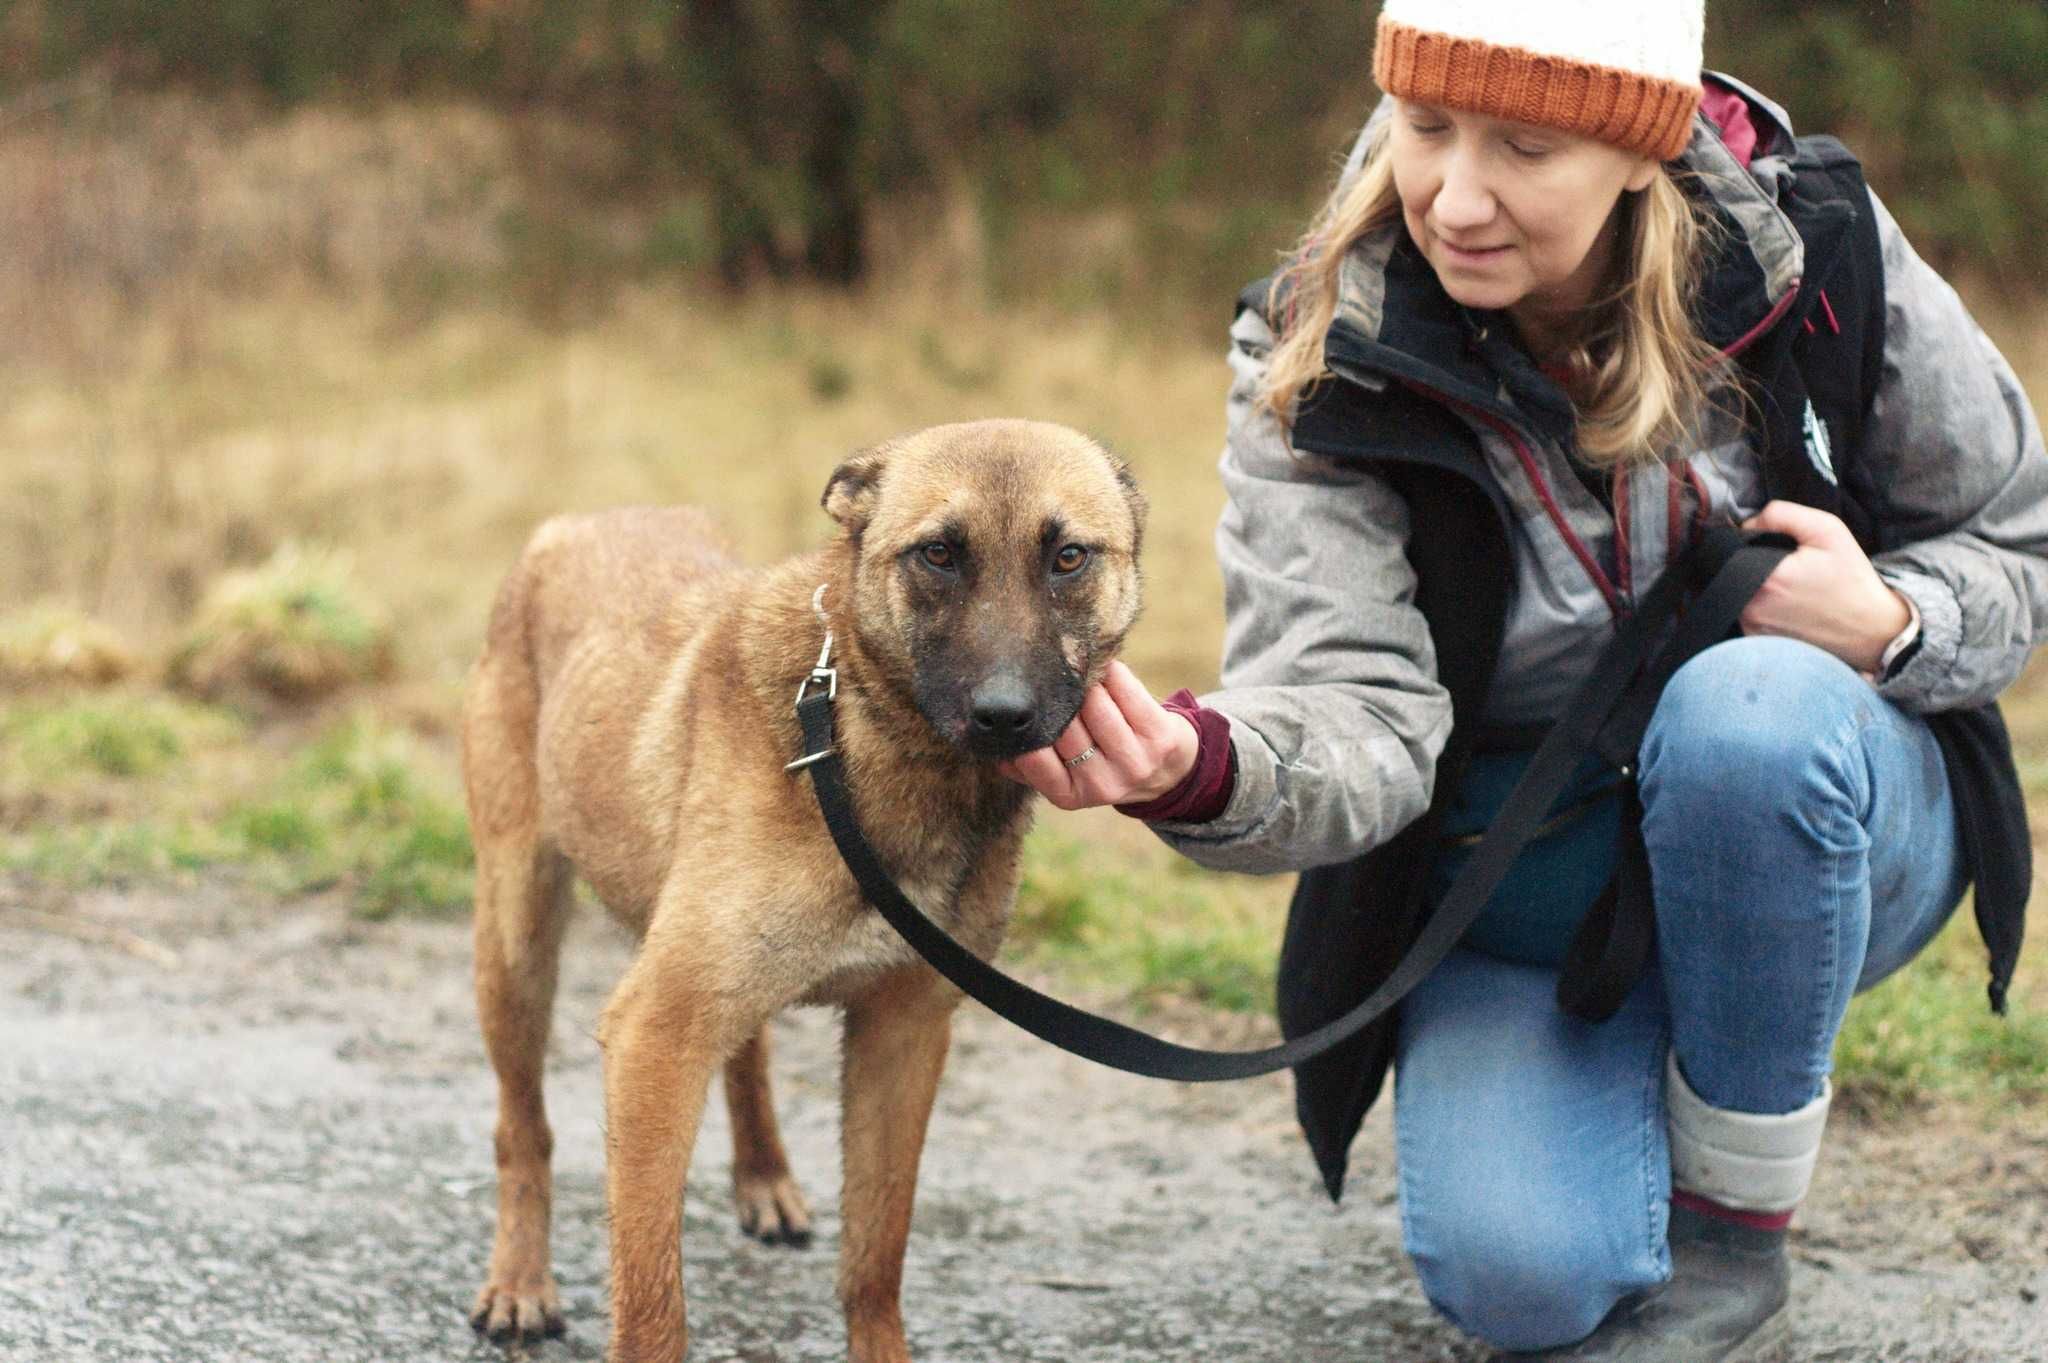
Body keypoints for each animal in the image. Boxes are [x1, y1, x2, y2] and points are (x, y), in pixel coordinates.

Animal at [454, 419, 1146, 1350]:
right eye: (938, 553)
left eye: (1069, 557)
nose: (1004, 716)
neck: (852, 742)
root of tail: (572, 524)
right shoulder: (653, 1036)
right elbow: (652, 1303)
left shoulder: (902, 1034)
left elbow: (875, 1260)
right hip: (518, 943)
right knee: (521, 1127)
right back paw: (522, 1282)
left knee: (746, 1053)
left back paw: (763, 1176)